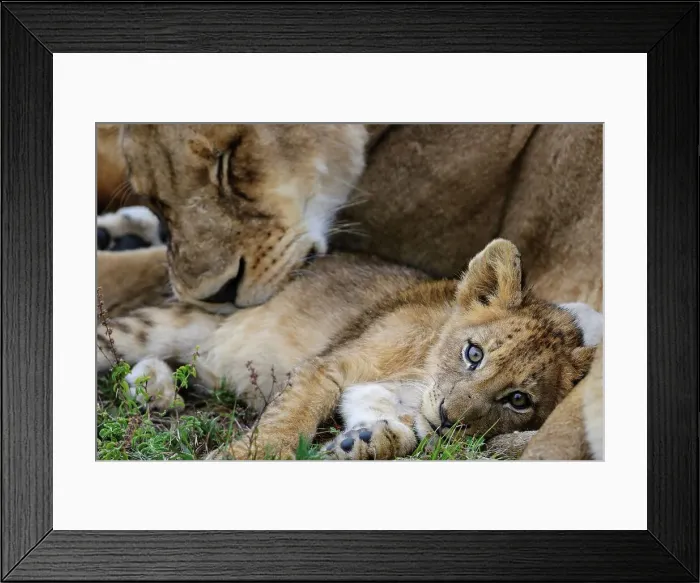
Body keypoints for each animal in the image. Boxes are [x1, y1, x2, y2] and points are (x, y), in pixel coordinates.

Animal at [97, 239, 602, 460]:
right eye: (473, 354)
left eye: (519, 400)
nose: (449, 418)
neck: (420, 375)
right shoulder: (330, 365)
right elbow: (287, 421)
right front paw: (244, 457)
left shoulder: (380, 396)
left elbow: (402, 431)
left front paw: (363, 442)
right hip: (158, 325)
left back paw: (155, 389)